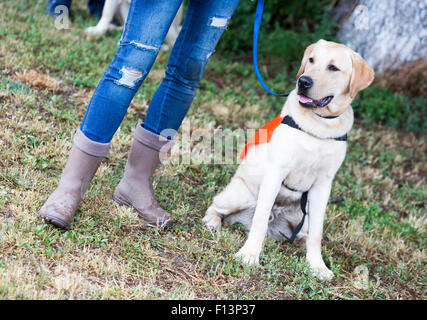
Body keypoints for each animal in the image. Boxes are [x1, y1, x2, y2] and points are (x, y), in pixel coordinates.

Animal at [204, 39, 374, 280]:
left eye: (333, 67)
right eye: (311, 60)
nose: (303, 81)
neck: (319, 126)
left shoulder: (323, 184)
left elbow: (316, 233)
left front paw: (317, 265)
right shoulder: (276, 171)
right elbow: (260, 219)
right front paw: (250, 254)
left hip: (301, 216)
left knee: (304, 233)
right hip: (240, 195)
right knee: (217, 205)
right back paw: (212, 222)